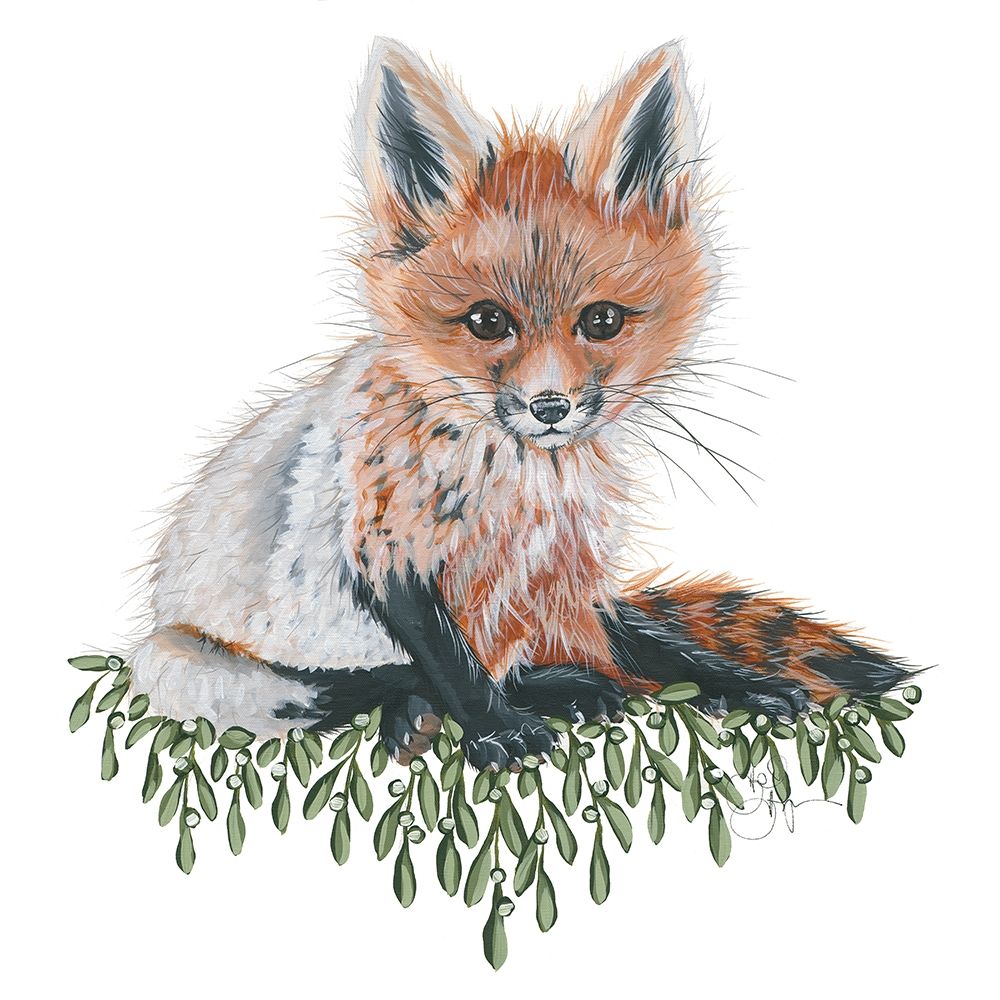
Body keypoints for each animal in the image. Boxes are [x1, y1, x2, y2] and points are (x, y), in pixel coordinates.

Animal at [128, 38, 913, 771]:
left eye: (601, 320)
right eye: (486, 321)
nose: (550, 407)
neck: (522, 489)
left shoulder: (566, 575)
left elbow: (660, 651)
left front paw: (743, 685)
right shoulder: (387, 552)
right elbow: (452, 668)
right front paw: (499, 730)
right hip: (203, 674)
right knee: (360, 684)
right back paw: (453, 710)